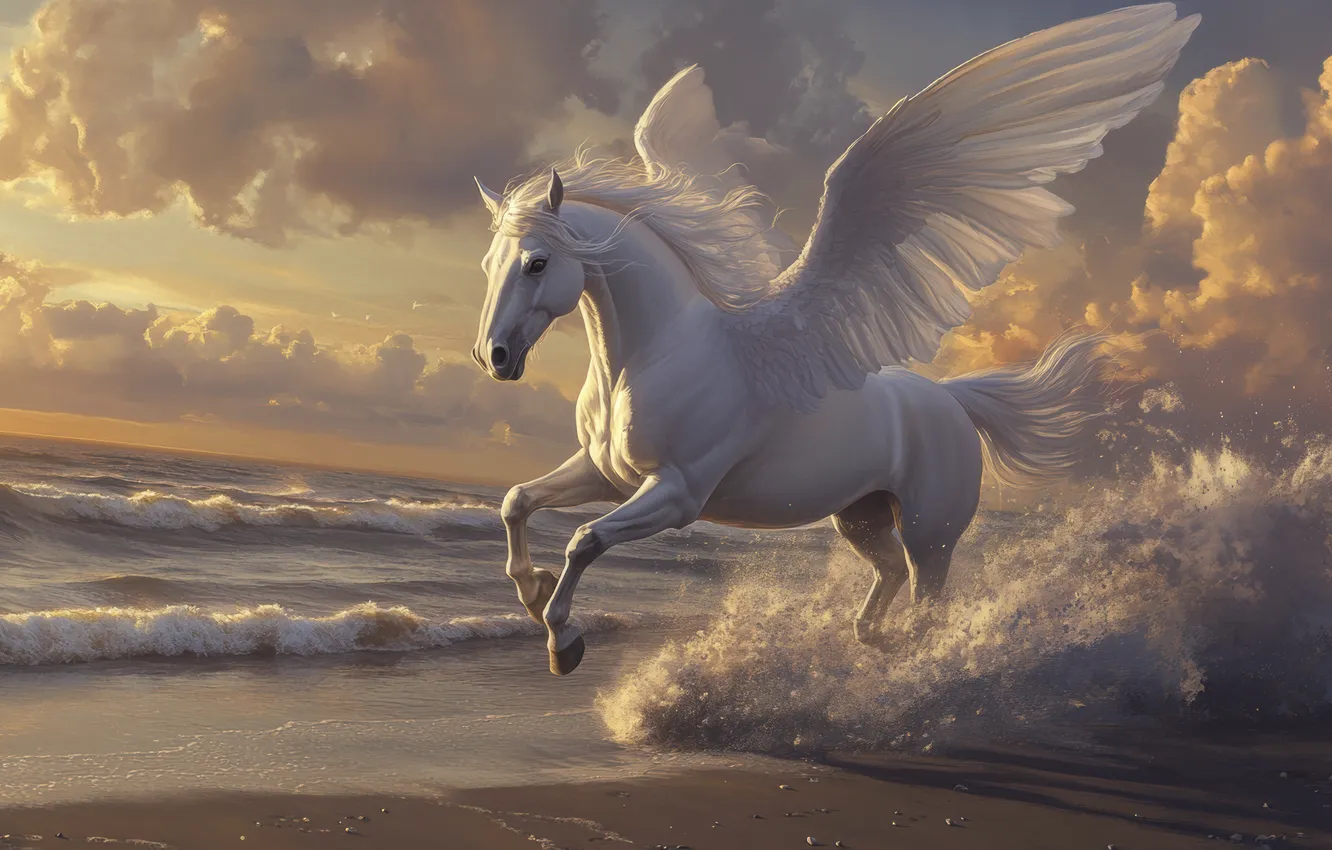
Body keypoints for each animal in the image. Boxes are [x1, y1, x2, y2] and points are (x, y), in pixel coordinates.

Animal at [469, 4, 1199, 675]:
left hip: (932, 532)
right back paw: (873, 641)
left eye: (537, 263)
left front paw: (563, 639)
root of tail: (954, 401)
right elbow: (515, 501)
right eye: (487, 264)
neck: (652, 355)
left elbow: (584, 540)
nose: (494, 358)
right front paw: (532, 594)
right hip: (860, 517)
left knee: (929, 600)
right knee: (890, 576)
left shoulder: (676, 493)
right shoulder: (605, 473)